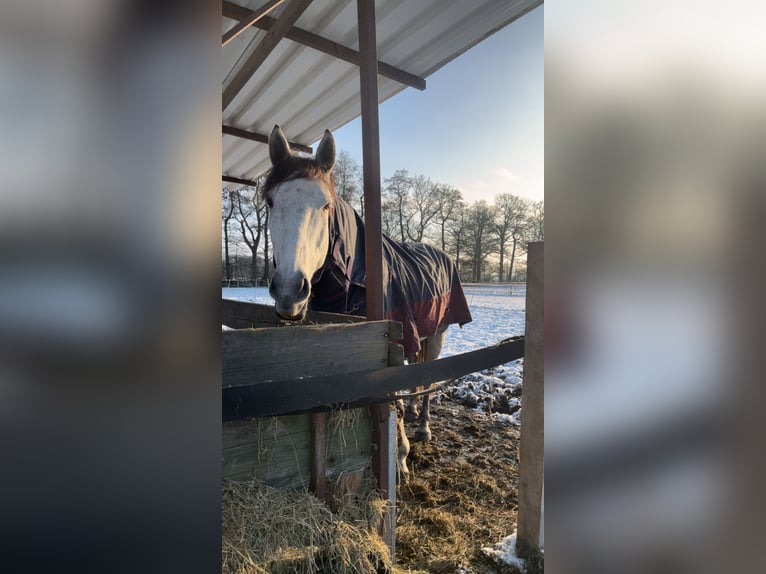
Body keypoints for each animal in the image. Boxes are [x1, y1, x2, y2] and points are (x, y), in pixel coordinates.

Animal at [263, 124, 472, 477]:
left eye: (325, 205)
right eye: (270, 202)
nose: (289, 291)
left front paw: (399, 456)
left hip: (437, 334)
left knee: (428, 373)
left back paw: (423, 427)